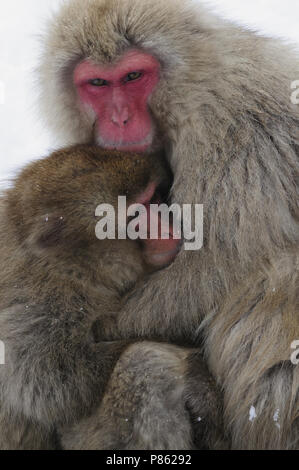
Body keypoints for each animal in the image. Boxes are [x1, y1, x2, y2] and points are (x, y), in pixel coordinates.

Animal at [0, 145, 225, 450]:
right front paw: (195, 370)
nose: (167, 230)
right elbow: (53, 385)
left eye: (153, 199)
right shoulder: (41, 297)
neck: (75, 266)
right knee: (141, 363)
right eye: (135, 217)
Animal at [38, 0, 299, 448]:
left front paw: (98, 328)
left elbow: (204, 275)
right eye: (97, 83)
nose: (120, 119)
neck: (197, 92)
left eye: (133, 76)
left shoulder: (238, 140)